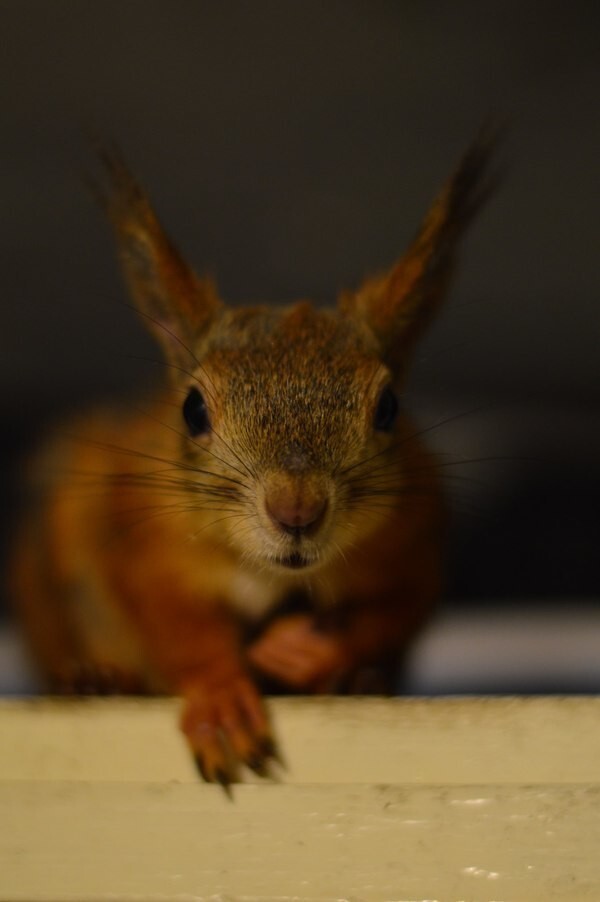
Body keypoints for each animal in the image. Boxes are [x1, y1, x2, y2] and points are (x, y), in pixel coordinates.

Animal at [9, 129, 496, 792]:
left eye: (390, 406)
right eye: (192, 409)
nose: (296, 510)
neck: (271, 574)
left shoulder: (413, 543)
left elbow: (393, 610)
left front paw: (309, 651)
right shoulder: (142, 540)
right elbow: (180, 626)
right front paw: (220, 701)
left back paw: (357, 680)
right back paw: (96, 680)